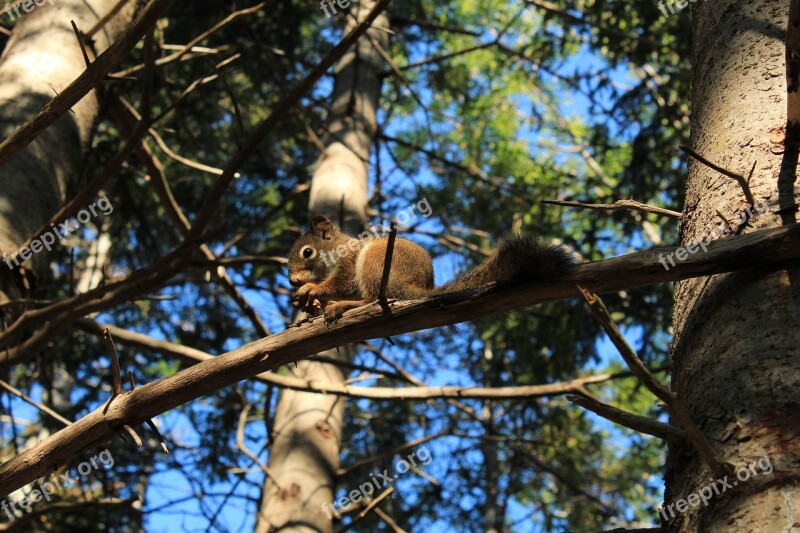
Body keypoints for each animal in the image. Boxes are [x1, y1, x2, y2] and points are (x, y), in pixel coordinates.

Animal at [288, 214, 576, 322]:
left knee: (372, 299)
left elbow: (341, 282)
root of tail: (415, 288)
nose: (293, 281)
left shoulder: (349, 261)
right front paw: (310, 302)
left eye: (307, 252)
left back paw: (344, 306)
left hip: (376, 262)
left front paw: (314, 289)